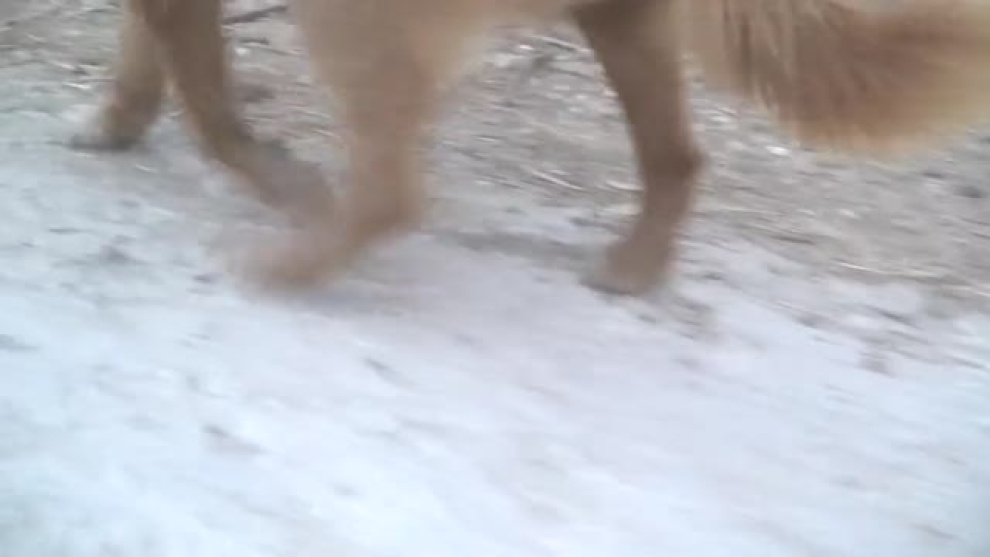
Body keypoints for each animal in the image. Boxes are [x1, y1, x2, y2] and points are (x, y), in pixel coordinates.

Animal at [72, 0, 990, 296]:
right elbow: (151, 59)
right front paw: (115, 122)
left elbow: (209, 105)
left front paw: (283, 181)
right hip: (625, 26)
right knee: (679, 158)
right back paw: (636, 266)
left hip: (350, 13)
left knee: (393, 192)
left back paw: (295, 262)